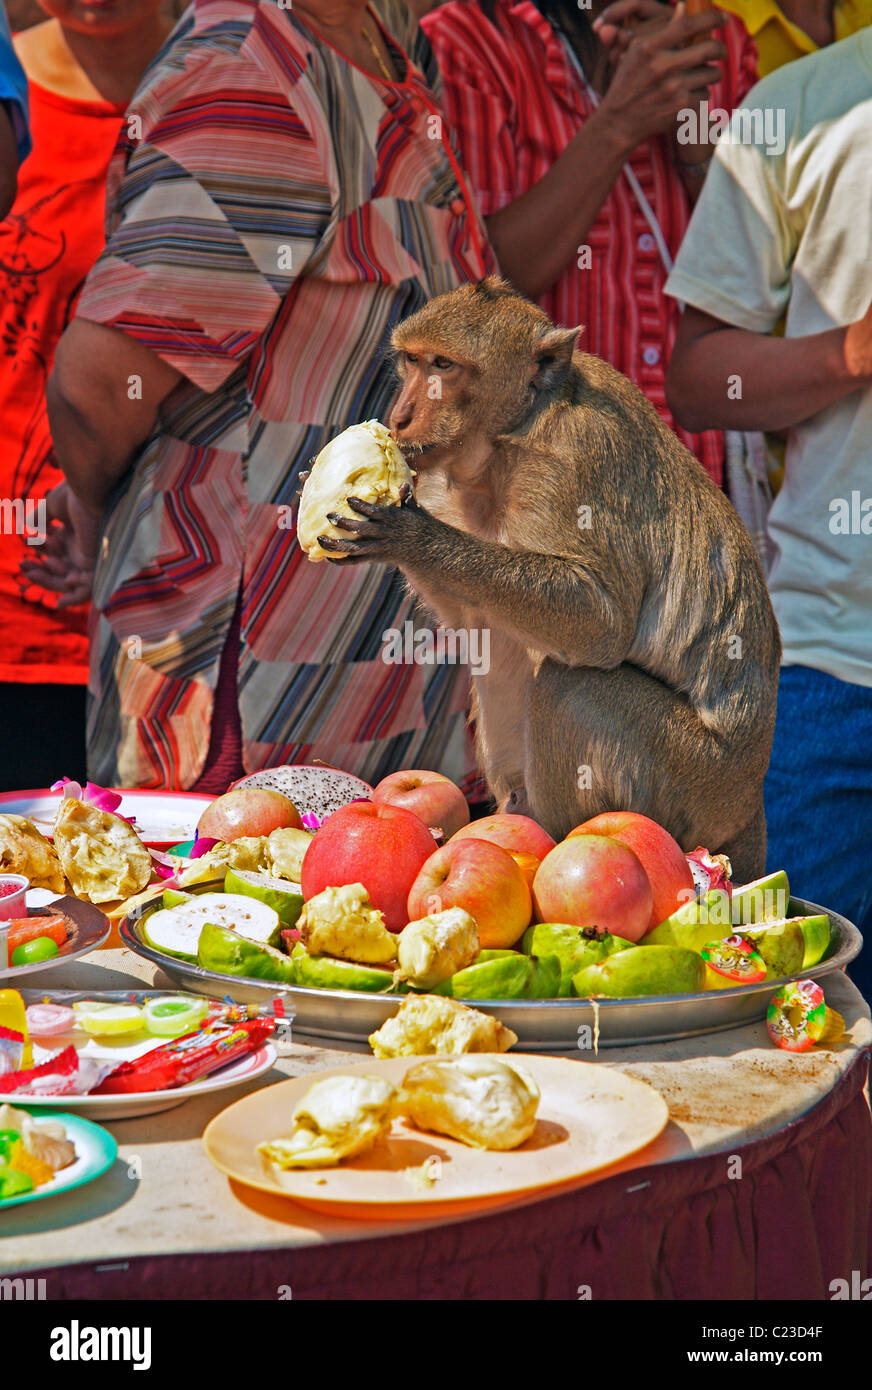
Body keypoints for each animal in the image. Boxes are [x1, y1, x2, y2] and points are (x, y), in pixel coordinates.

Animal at [317, 278, 778, 878]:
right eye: (411, 361)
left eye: (443, 365)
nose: (398, 417)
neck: (507, 437)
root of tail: (749, 803)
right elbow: (473, 616)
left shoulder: (571, 460)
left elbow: (599, 622)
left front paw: (407, 535)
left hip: (697, 784)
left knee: (574, 685)